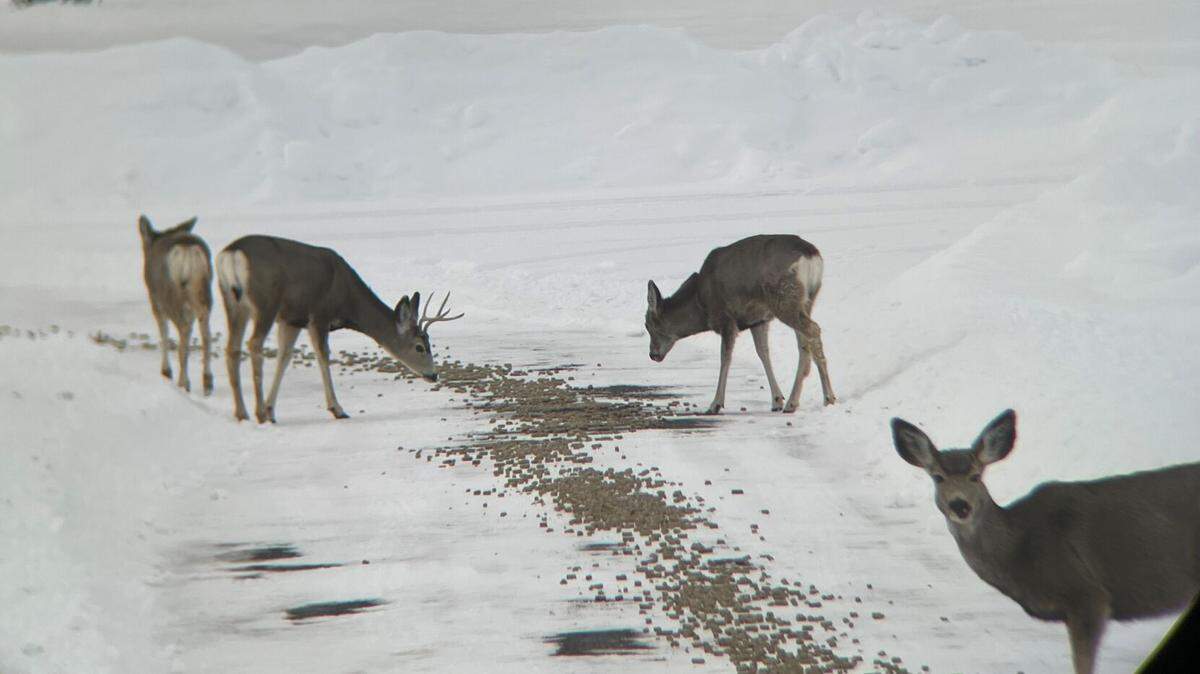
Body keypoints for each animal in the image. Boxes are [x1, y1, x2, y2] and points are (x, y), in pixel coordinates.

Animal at [137, 214, 214, 395]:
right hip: (203, 294)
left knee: (183, 330)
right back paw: (207, 381)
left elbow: (164, 332)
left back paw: (184, 382)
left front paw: (166, 371)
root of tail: (188, 251)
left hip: (171, 297)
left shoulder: (155, 301)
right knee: (206, 335)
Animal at [215, 235, 463, 423]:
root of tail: (231, 253)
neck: (347, 300)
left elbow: (283, 358)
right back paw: (256, 412)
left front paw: (271, 409)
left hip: (232, 301)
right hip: (266, 302)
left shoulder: (292, 319)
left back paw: (242, 412)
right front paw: (337, 409)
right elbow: (323, 357)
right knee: (253, 344)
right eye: (420, 347)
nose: (433, 374)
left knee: (232, 348)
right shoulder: (319, 315)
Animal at [645, 234, 835, 414]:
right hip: (806, 300)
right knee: (804, 343)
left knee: (813, 330)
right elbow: (763, 353)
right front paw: (776, 400)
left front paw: (715, 404)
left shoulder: (726, 318)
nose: (653, 354)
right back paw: (794, 402)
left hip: (784, 297)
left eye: (648, 325)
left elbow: (725, 357)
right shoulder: (758, 320)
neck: (701, 304)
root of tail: (812, 255)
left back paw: (826, 398)